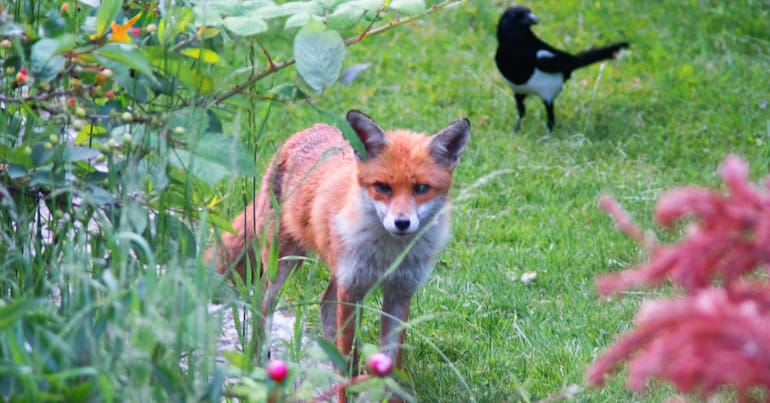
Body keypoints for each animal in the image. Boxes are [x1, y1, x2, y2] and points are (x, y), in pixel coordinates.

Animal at [206, 109, 468, 398]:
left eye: (421, 188)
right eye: (383, 187)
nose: (401, 223)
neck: (388, 255)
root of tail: (306, 130)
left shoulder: (400, 291)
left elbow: (391, 362)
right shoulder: (352, 288)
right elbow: (350, 358)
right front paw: (346, 393)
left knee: (325, 306)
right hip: (284, 263)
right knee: (261, 306)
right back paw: (260, 368)